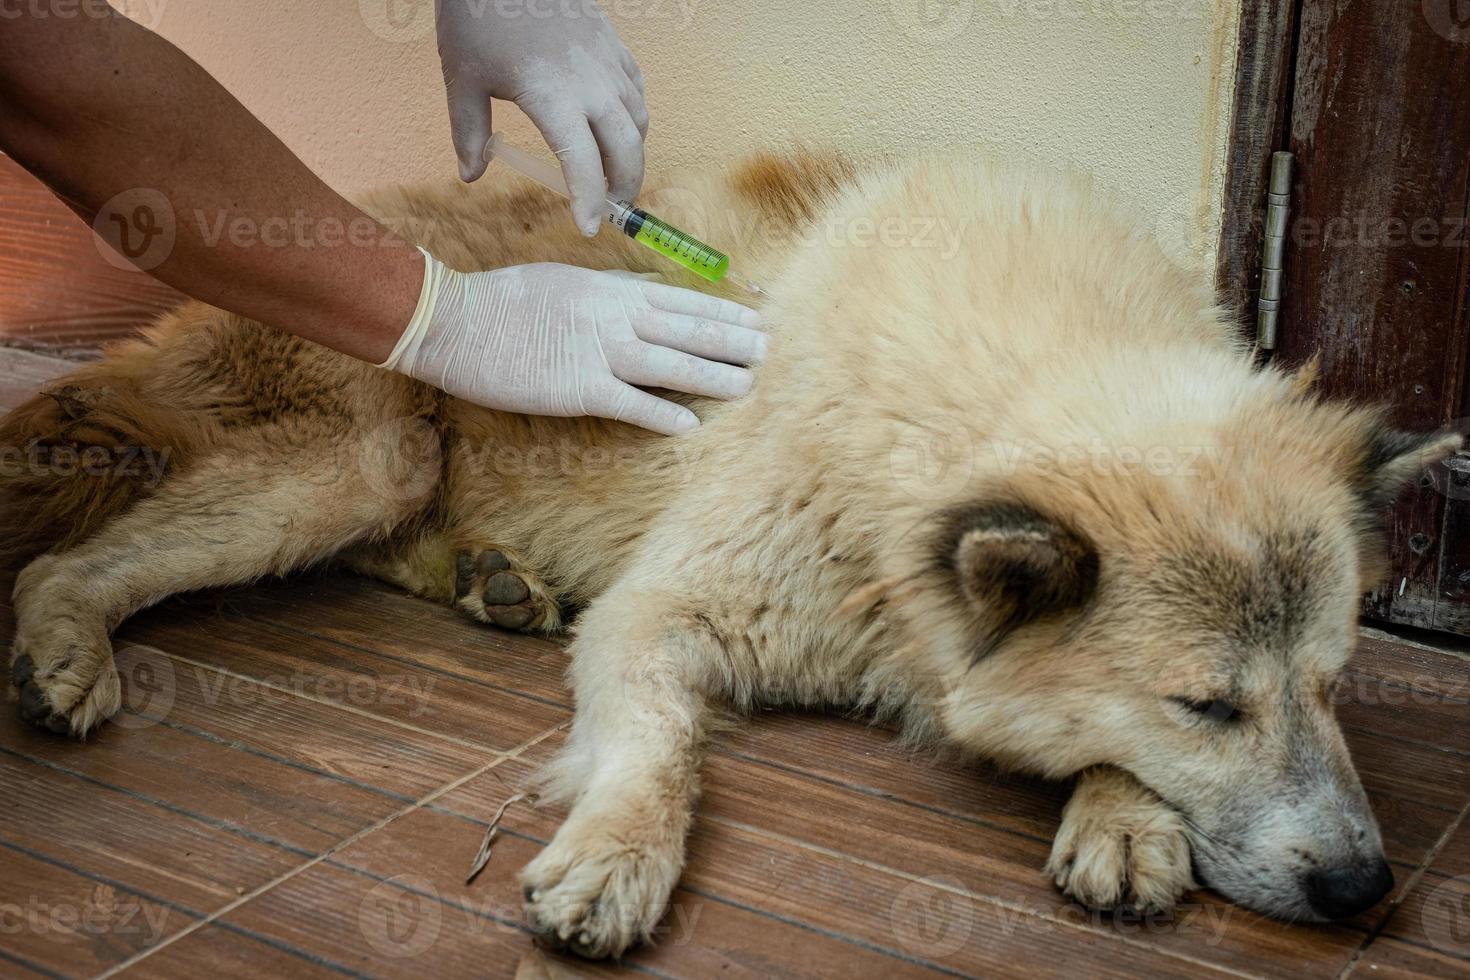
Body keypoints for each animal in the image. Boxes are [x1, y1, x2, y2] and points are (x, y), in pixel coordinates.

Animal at [2, 147, 1458, 957]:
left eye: (1332, 686)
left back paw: (490, 577)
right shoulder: (661, 610)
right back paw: (65, 644)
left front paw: (1121, 815)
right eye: (1209, 705)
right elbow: (658, 743)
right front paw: (618, 850)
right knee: (68, 562)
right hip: (358, 457)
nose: (1365, 885)